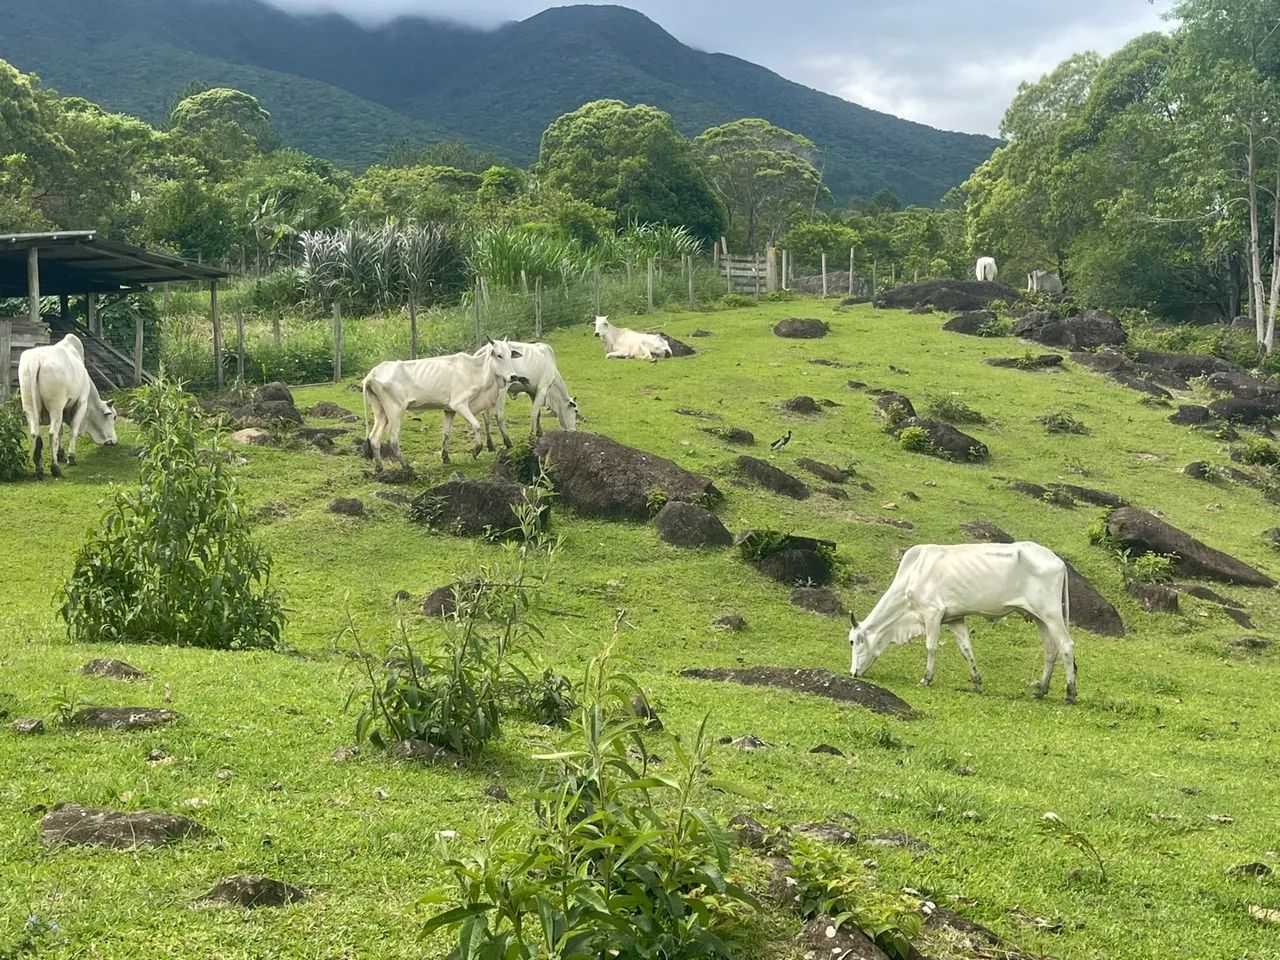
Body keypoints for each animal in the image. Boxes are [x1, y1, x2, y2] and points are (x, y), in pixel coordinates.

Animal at [18, 334, 118, 479]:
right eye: (113, 417)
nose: (114, 441)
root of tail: (36, 361)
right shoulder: (81, 403)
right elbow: (72, 431)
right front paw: (71, 457)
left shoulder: (65, 408)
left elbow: (61, 431)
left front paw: (61, 454)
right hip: (56, 407)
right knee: (51, 434)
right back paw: (55, 468)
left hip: (29, 408)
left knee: (35, 435)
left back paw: (39, 469)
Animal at [361, 340, 523, 468]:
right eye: (499, 355)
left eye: (510, 354)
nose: (513, 376)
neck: (476, 371)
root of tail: (374, 372)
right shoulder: (460, 404)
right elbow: (476, 425)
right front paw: (476, 450)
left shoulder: (449, 409)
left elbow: (446, 433)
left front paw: (445, 457)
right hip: (395, 411)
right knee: (393, 439)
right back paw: (406, 466)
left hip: (381, 412)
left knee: (374, 438)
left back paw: (379, 467)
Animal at [847, 542, 1077, 703]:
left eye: (852, 642)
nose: (853, 673)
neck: (913, 573)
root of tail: (1058, 561)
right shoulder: (955, 618)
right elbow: (966, 649)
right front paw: (976, 683)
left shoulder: (933, 612)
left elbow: (931, 646)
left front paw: (926, 678)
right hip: (1039, 617)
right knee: (1050, 649)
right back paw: (1040, 690)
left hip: (1051, 613)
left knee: (1066, 646)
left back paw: (1070, 694)